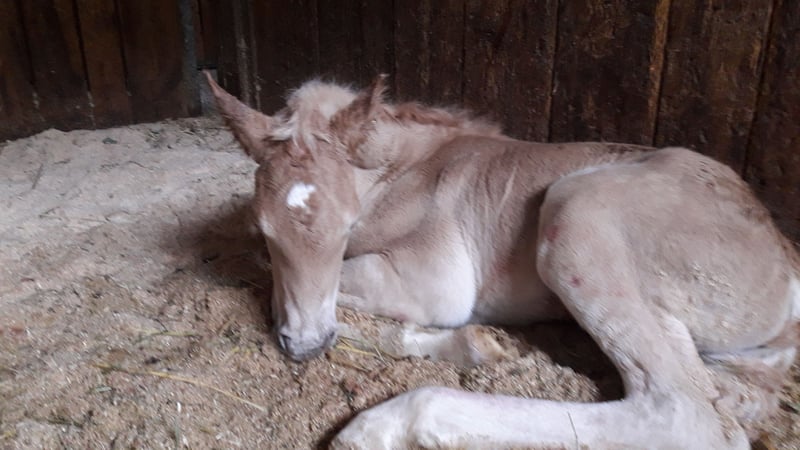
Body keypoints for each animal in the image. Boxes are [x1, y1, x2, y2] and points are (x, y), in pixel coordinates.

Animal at [205, 72, 799, 449]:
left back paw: (386, 424)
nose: (302, 347)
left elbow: (302, 287)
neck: (404, 172)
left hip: (579, 211)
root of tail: (785, 260)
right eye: (264, 227)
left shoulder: (434, 278)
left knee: (686, 413)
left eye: (347, 225)